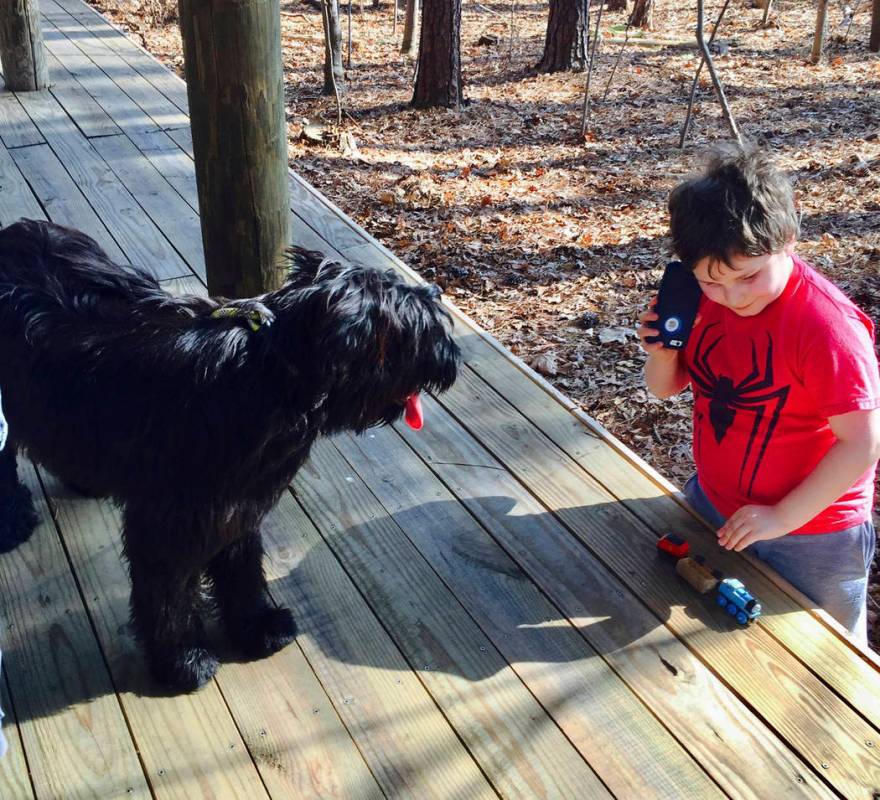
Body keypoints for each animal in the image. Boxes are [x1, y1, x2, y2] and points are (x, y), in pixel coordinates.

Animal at [0, 220, 464, 692]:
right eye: (421, 325)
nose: (439, 292)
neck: (267, 373)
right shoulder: (166, 521)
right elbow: (167, 594)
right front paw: (182, 660)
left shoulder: (236, 505)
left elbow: (241, 565)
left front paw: (256, 625)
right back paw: (11, 522)